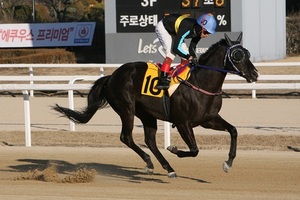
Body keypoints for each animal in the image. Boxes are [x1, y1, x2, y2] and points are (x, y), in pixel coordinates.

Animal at [53, 33, 258, 178]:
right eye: (237, 55)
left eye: (247, 53)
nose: (255, 74)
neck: (201, 83)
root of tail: (111, 76)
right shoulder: (183, 122)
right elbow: (194, 150)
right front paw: (174, 149)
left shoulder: (208, 119)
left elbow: (233, 131)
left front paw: (228, 163)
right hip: (126, 109)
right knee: (126, 137)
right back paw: (151, 163)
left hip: (147, 114)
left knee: (149, 140)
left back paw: (167, 168)